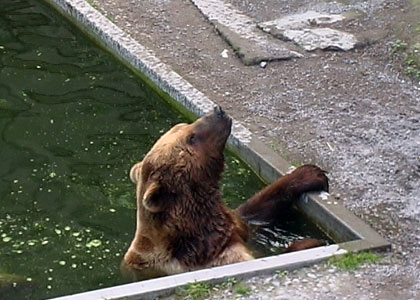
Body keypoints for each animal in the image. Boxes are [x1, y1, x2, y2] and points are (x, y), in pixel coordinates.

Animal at [123, 106, 330, 276]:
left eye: (182, 126)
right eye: (191, 138)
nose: (218, 111)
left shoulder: (235, 225)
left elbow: (255, 210)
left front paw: (312, 174)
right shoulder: (211, 258)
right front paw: (310, 243)